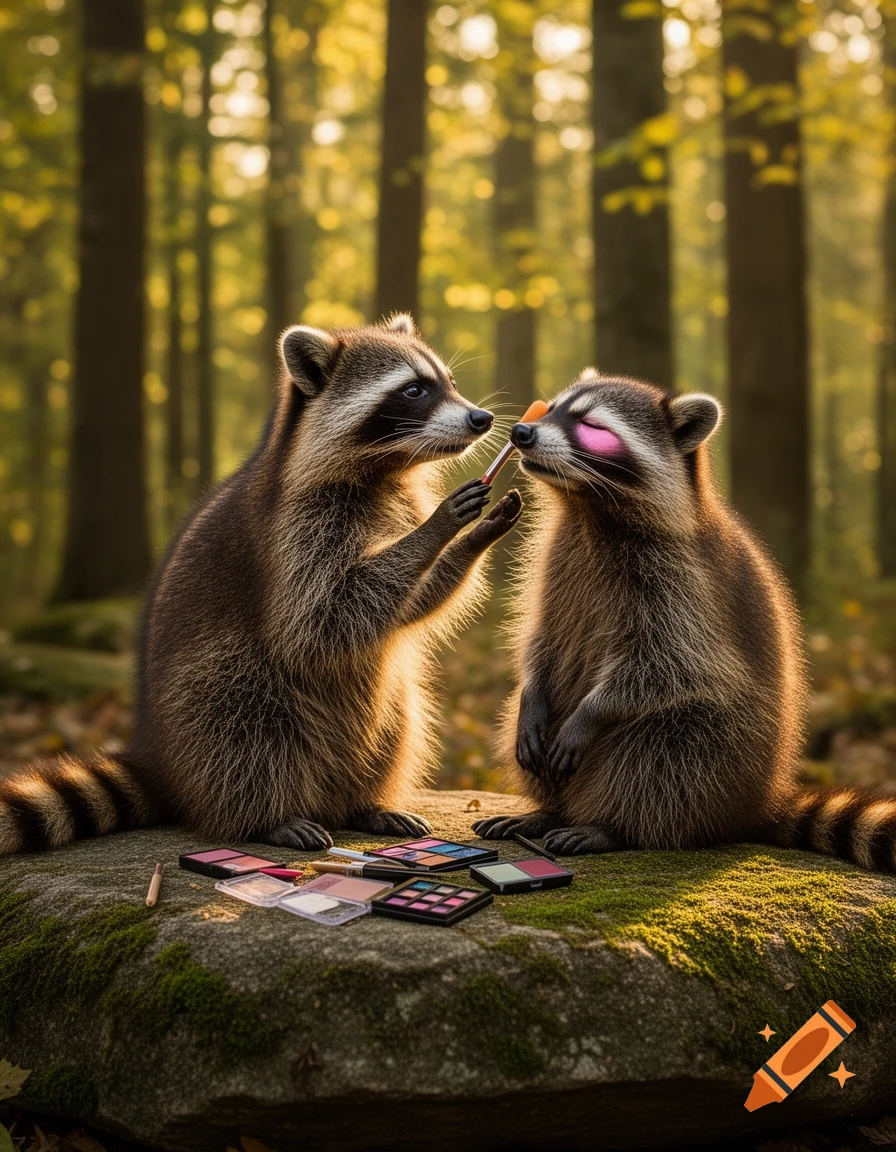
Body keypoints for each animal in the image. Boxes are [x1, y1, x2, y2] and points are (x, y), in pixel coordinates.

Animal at [1, 315, 523, 855]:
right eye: (414, 390)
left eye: (450, 383)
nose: (483, 418)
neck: (386, 469)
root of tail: (162, 758)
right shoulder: (295, 530)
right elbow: (323, 619)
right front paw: (439, 528)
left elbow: (408, 606)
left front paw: (473, 538)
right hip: (217, 692)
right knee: (244, 725)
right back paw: (267, 817)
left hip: (381, 712)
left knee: (398, 720)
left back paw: (364, 802)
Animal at [474, 371, 896, 872]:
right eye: (550, 408)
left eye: (591, 425)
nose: (521, 431)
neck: (587, 505)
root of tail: (755, 805)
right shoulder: (554, 561)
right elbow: (540, 637)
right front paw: (531, 691)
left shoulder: (684, 583)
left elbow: (668, 664)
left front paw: (592, 712)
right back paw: (547, 810)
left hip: (724, 747)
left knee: (665, 751)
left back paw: (613, 826)